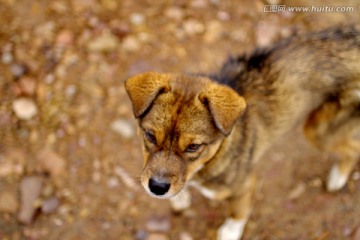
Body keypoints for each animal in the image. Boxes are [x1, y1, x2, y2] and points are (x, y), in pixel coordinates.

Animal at [126, 25, 360, 239]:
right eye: (150, 135)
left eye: (193, 146)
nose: (157, 187)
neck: (211, 159)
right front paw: (180, 198)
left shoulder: (245, 184)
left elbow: (238, 211)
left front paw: (230, 231)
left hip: (320, 131)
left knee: (353, 148)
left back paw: (337, 178)